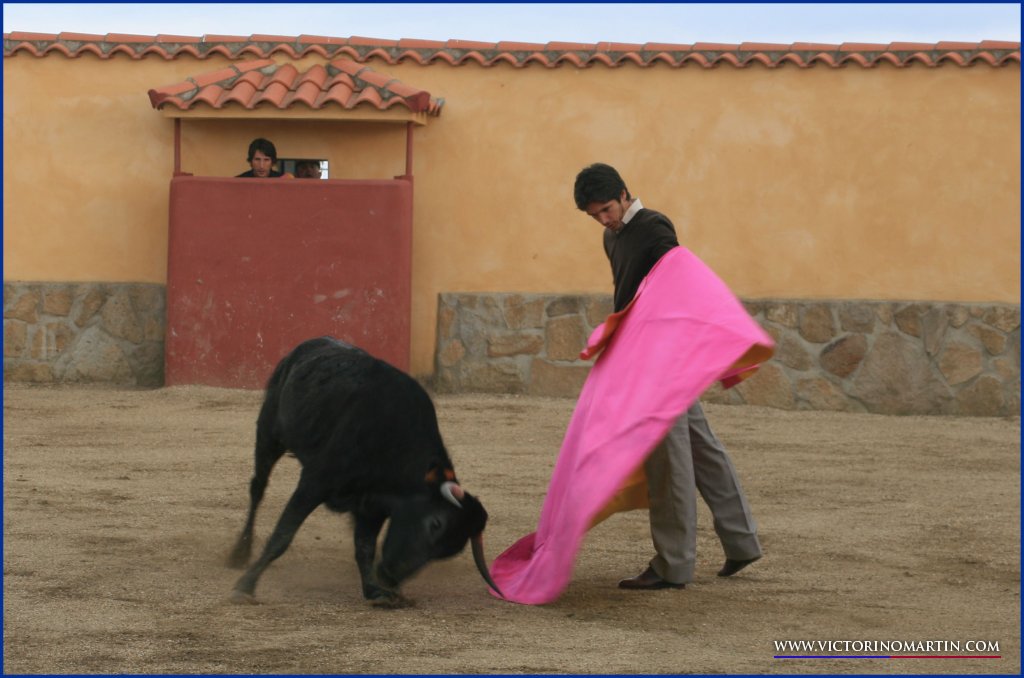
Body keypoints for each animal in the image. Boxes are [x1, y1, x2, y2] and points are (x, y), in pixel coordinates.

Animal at [226, 336, 502, 607]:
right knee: (258, 488)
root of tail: (310, 343)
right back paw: (239, 552)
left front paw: (374, 591)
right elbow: (282, 536)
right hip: (269, 433)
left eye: (448, 551)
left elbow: (365, 548)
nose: (390, 578)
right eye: (435, 523)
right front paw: (246, 586)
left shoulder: (372, 507)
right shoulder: (314, 484)